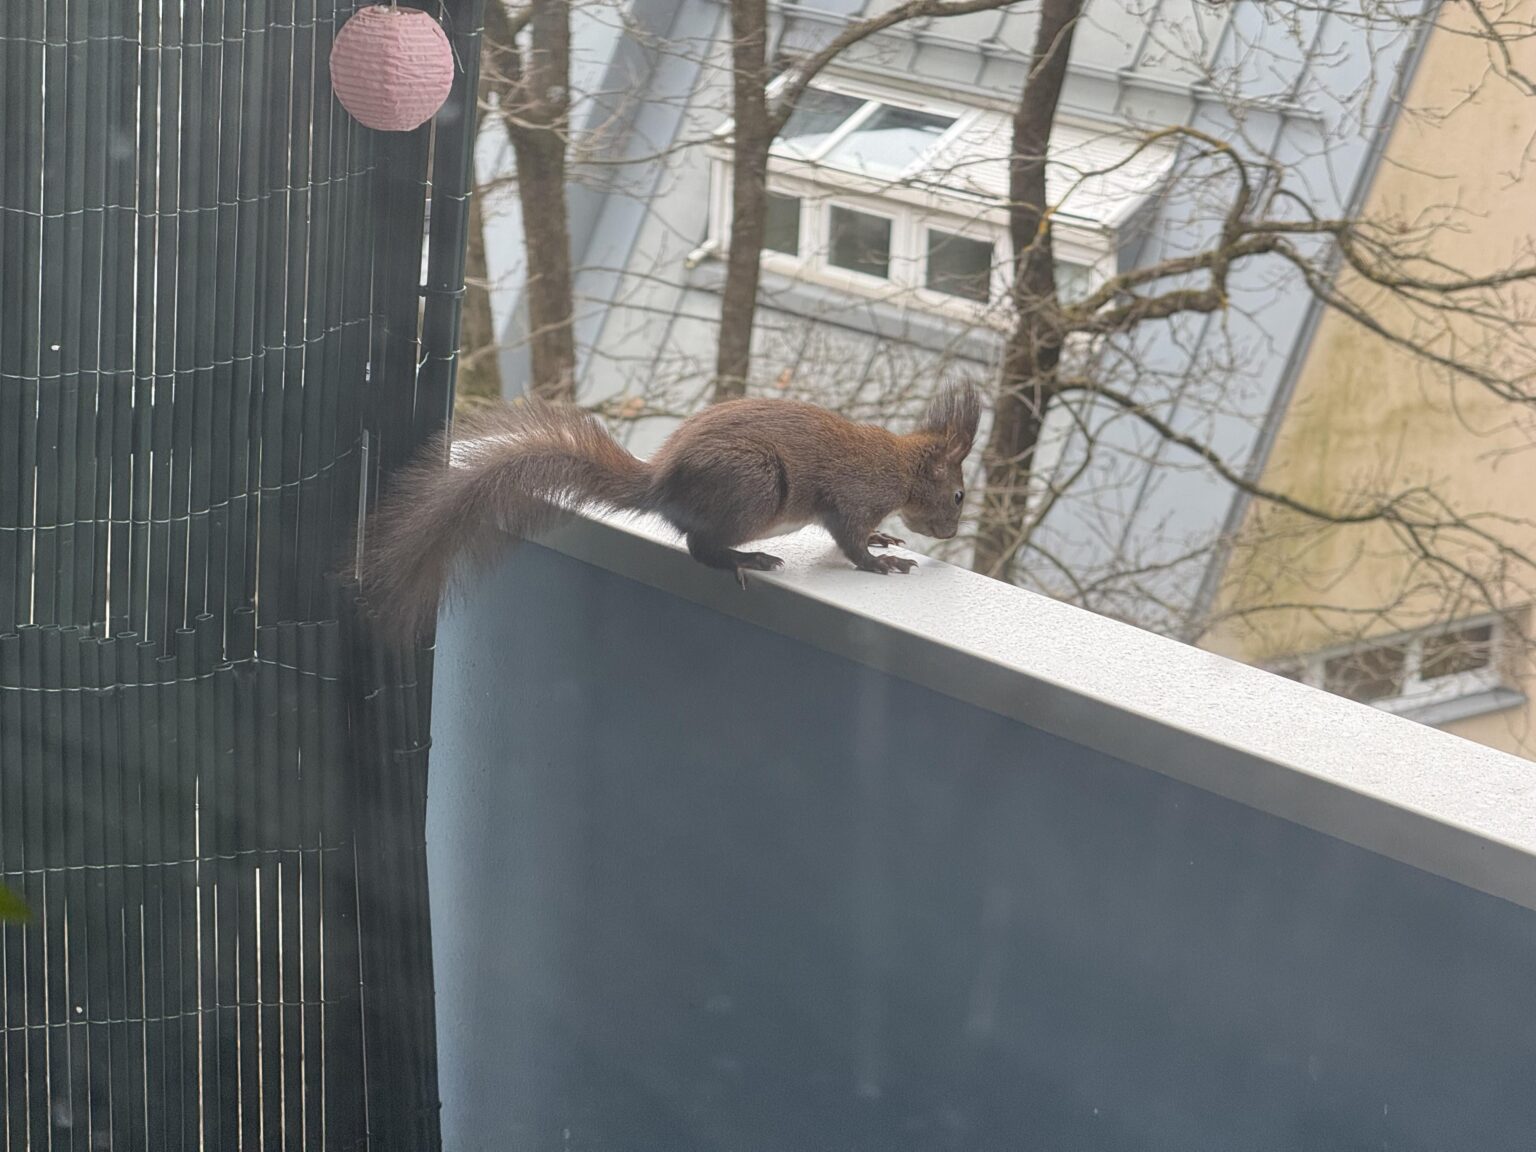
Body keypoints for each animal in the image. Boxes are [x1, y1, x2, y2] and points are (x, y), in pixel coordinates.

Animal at [358, 381, 980, 642]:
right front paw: (879, 562)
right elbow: (847, 539)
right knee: (698, 547)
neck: (898, 467)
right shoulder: (851, 496)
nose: (950, 531)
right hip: (754, 486)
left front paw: (885, 541)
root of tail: (661, 485)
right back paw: (746, 559)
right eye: (957, 496)